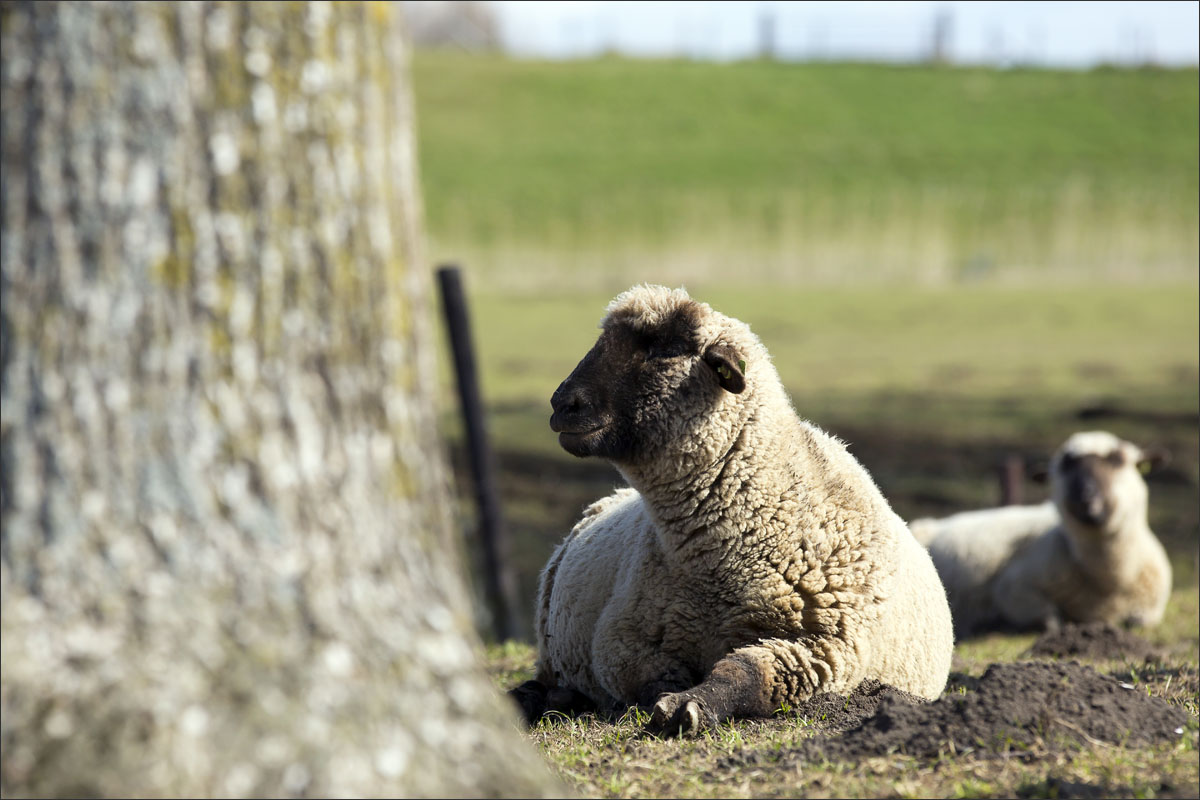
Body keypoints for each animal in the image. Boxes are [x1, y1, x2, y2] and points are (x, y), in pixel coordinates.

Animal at [508, 283, 955, 738]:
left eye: (666, 349)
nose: (562, 404)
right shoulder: (621, 643)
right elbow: (655, 679)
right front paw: (670, 699)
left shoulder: (824, 651)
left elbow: (747, 674)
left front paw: (689, 707)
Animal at [907, 431, 1171, 638]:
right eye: (1063, 468)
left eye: (1118, 460)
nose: (1086, 498)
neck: (1109, 581)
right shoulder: (1012, 588)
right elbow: (1050, 621)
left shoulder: (1152, 606)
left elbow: (1141, 620)